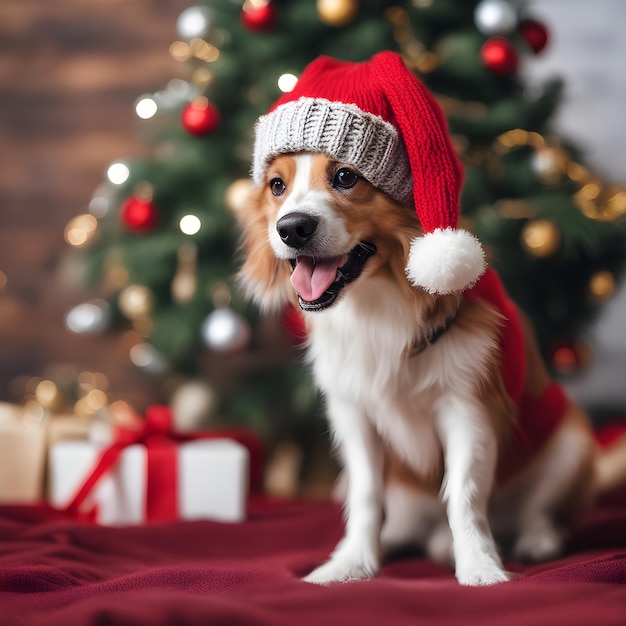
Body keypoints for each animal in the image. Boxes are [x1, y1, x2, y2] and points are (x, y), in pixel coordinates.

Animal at [233, 51, 620, 584]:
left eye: (346, 177)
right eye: (277, 185)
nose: (291, 228)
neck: (379, 300)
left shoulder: (467, 408)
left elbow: (464, 495)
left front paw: (480, 566)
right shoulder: (354, 415)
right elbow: (366, 496)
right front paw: (351, 563)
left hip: (570, 442)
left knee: (541, 509)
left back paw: (536, 540)